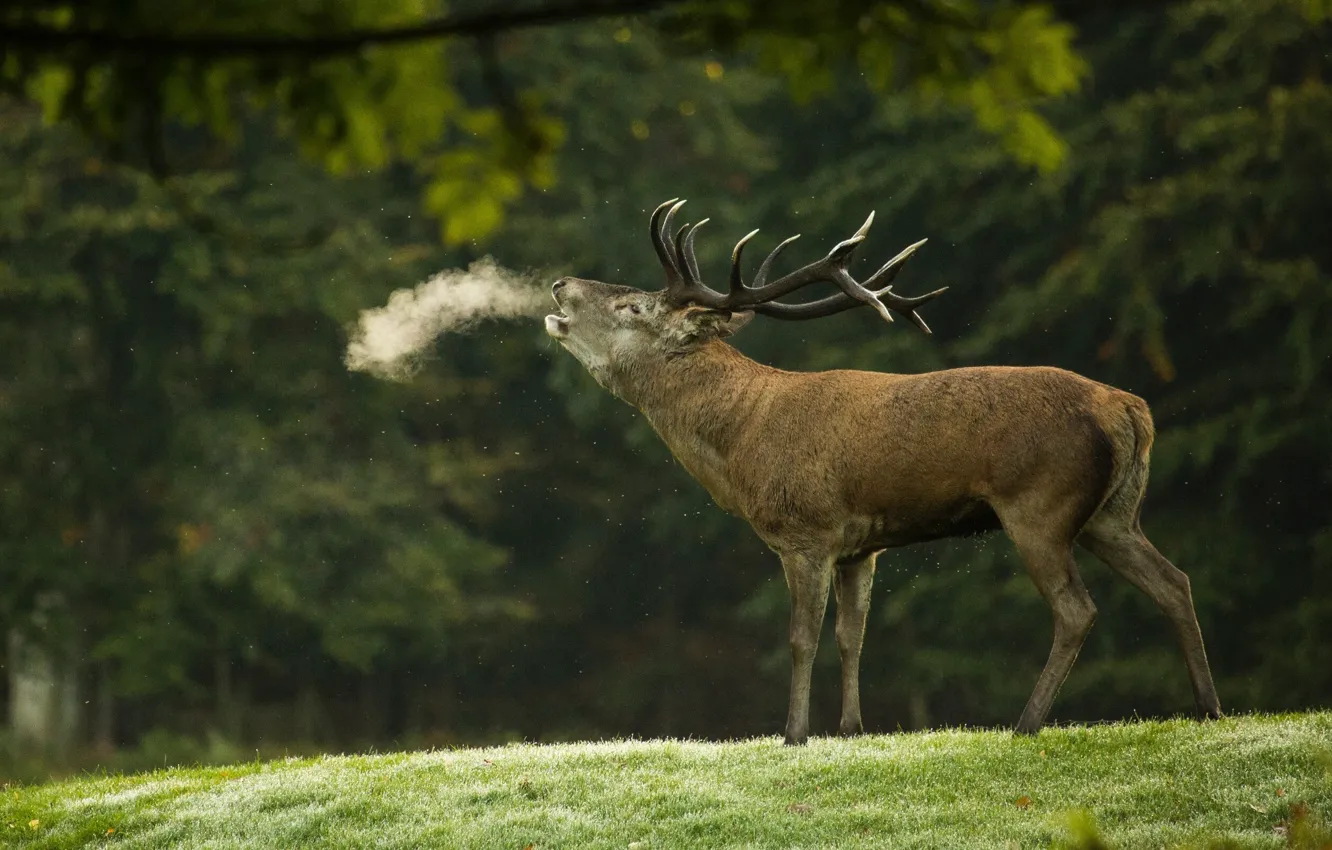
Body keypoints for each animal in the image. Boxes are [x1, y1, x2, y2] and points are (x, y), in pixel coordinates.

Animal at [545, 198, 1223, 745]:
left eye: (633, 305)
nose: (558, 284)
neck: (742, 445)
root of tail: (1131, 410)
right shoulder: (860, 546)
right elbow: (854, 635)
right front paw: (851, 728)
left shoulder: (807, 532)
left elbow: (802, 638)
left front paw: (794, 734)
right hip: (1113, 513)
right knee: (1175, 581)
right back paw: (1208, 707)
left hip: (1040, 505)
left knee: (1076, 609)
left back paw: (1026, 723)